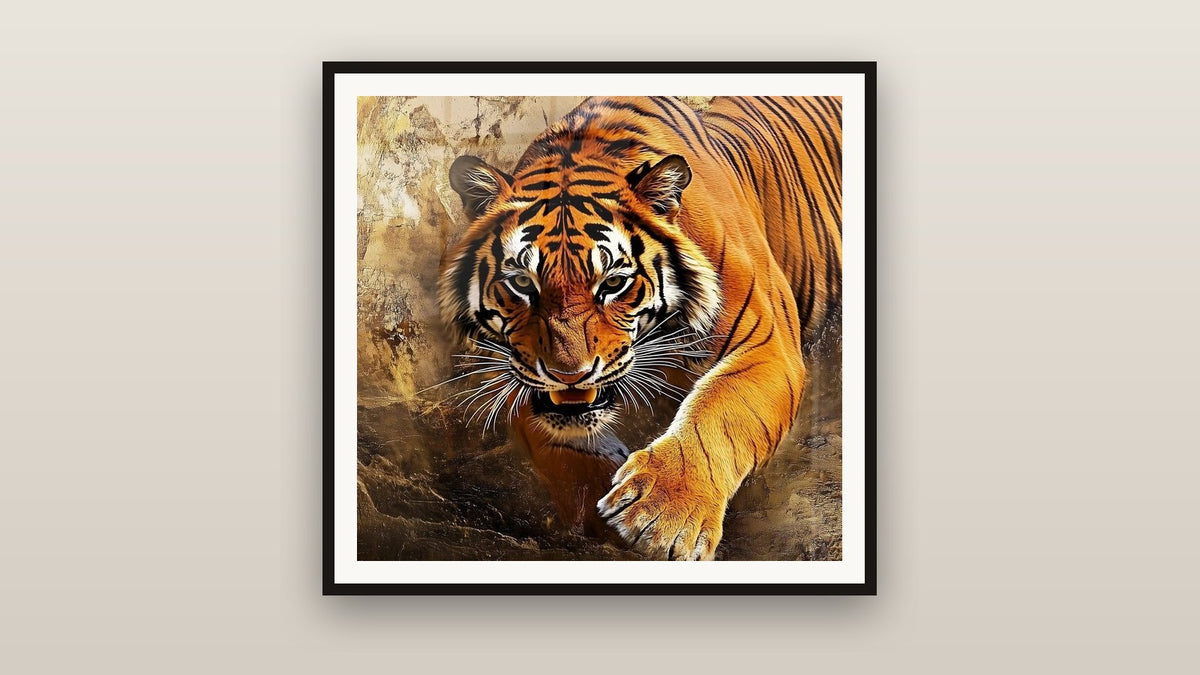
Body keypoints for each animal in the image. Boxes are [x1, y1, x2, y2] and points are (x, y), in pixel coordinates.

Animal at [439, 96, 842, 560]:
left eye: (613, 283)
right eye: (523, 283)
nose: (569, 375)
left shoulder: (765, 344)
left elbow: (719, 406)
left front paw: (663, 514)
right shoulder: (512, 367)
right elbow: (562, 451)